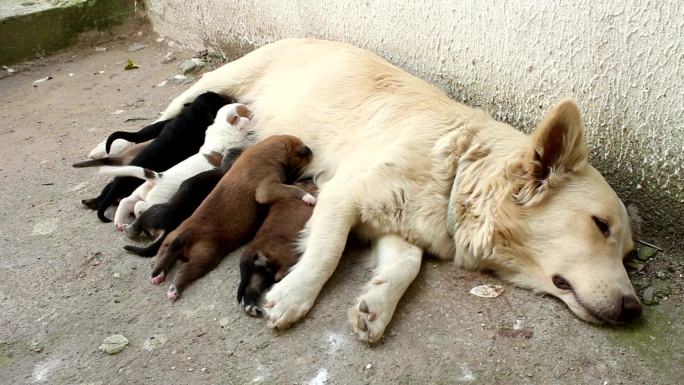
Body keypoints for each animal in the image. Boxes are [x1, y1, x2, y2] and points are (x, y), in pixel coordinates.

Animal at [97, 102, 252, 228]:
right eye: (245, 111)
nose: (250, 108)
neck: (223, 127)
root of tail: (157, 178)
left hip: (138, 192)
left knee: (126, 201)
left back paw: (119, 222)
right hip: (155, 201)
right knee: (139, 206)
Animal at [150, 134, 316, 300]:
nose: (310, 150)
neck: (268, 150)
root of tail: (185, 234)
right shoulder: (267, 188)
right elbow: (292, 189)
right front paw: (308, 197)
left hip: (168, 243)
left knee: (162, 259)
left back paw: (157, 276)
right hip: (203, 257)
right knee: (183, 270)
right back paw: (173, 289)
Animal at [238, 178, 318, 316]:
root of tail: (252, 248)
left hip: (258, 275)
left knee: (251, 289)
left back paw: (252, 308)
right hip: (287, 257)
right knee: (279, 276)